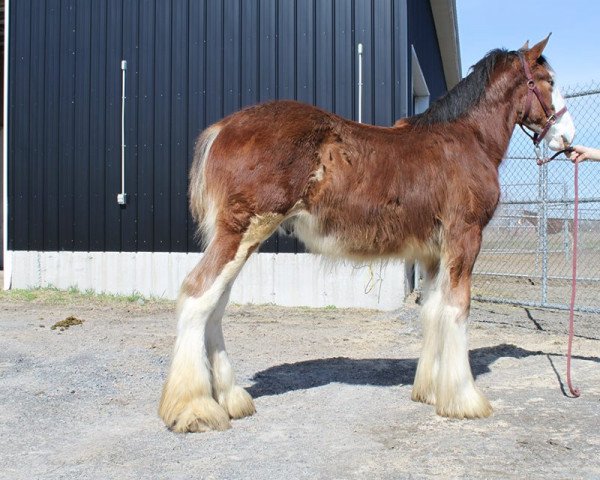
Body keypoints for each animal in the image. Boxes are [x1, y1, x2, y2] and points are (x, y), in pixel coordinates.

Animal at [159, 37, 576, 434]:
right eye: (549, 81)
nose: (567, 137)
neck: (465, 139)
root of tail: (221, 129)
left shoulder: (432, 252)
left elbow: (433, 311)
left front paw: (429, 390)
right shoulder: (464, 238)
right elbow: (457, 310)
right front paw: (464, 399)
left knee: (215, 305)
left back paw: (230, 398)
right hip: (243, 231)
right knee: (198, 294)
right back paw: (195, 409)